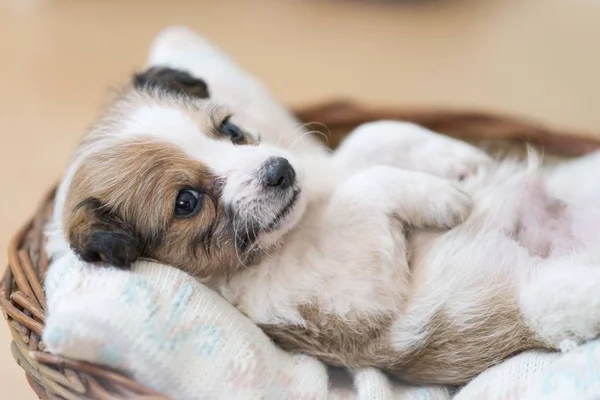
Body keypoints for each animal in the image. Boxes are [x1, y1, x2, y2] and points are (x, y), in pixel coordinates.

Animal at [45, 68, 600, 384]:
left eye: (230, 129)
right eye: (186, 202)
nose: (280, 171)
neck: (307, 219)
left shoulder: (331, 167)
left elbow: (369, 138)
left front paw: (454, 157)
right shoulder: (353, 296)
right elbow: (366, 185)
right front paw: (442, 197)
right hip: (549, 299)